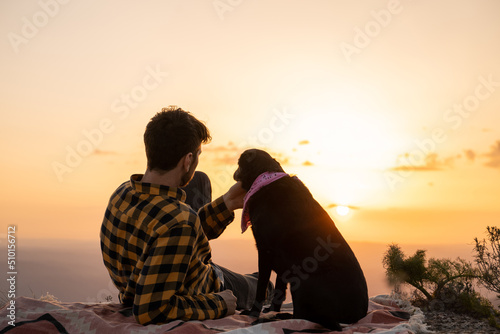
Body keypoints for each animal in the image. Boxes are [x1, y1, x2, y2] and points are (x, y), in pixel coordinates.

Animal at [233, 149, 368, 332]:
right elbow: (279, 291)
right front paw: (272, 310)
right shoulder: (281, 263)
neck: (266, 177)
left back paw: (269, 319)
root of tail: (356, 317)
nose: (234, 172)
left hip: (302, 281)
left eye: (239, 163)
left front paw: (253, 313)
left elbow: (261, 288)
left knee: (302, 316)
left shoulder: (266, 251)